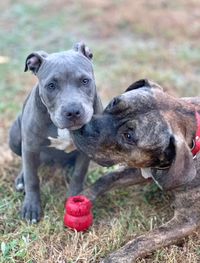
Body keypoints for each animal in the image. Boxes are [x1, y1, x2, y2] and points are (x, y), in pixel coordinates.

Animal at [8, 42, 101, 223]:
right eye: (51, 85)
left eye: (85, 81)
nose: (73, 111)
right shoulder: (30, 146)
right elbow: (32, 178)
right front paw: (31, 208)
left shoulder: (87, 149)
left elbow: (79, 174)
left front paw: (74, 196)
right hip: (15, 136)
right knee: (25, 164)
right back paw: (21, 179)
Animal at [72, 79, 200, 263]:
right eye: (113, 102)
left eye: (129, 136)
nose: (80, 127)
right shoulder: (143, 168)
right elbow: (108, 177)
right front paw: (85, 196)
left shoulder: (186, 220)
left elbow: (144, 240)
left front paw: (115, 257)